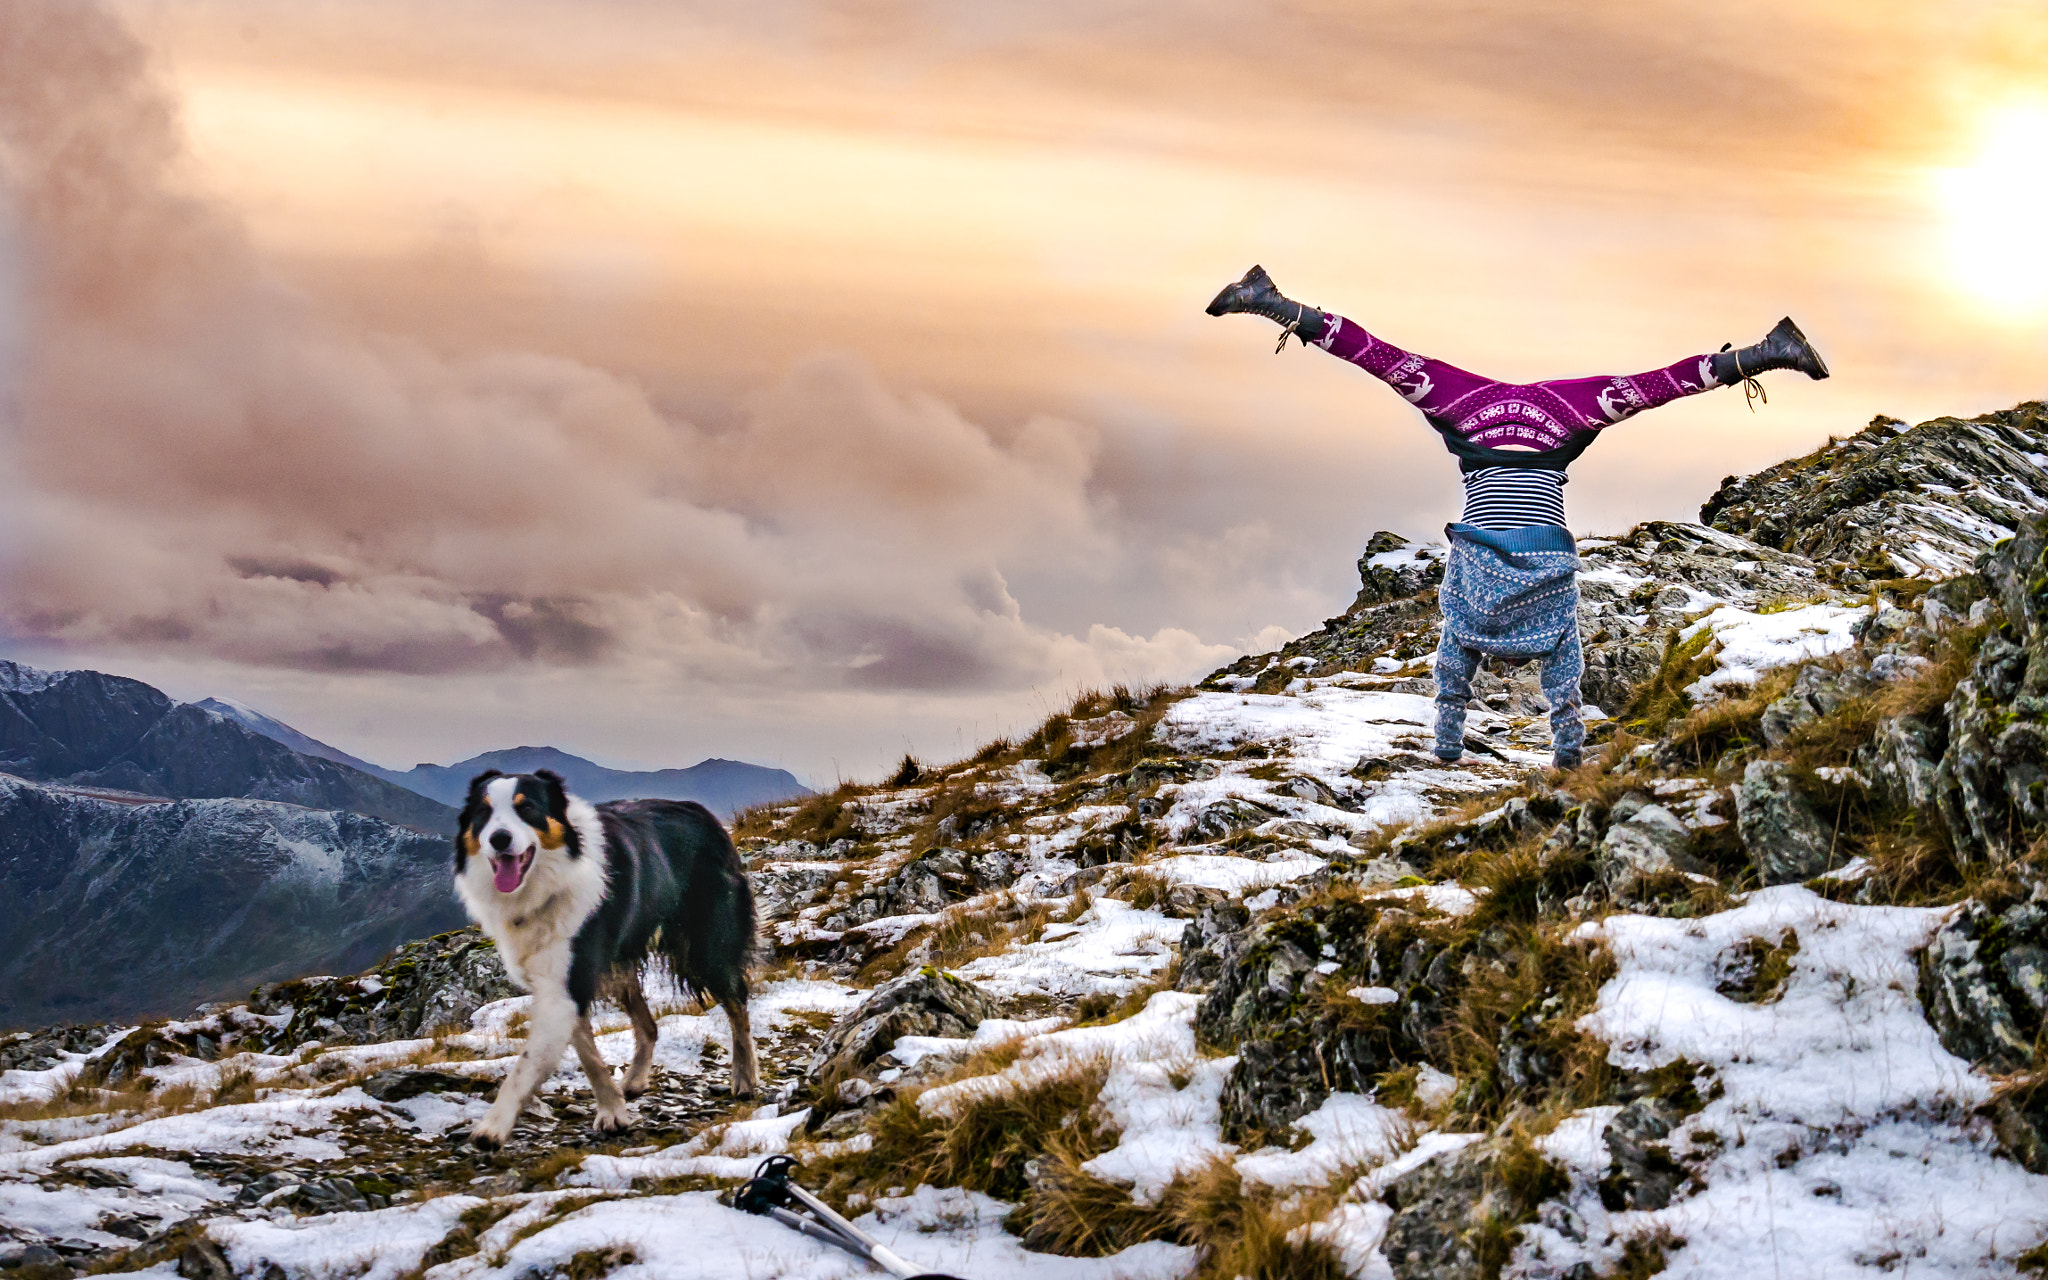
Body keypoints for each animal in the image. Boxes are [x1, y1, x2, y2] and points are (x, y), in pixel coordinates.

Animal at [456, 761, 761, 1146]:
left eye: (527, 808)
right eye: (483, 813)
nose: (499, 839)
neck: (547, 882)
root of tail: (705, 815)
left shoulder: (570, 979)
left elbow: (526, 1064)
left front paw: (493, 1126)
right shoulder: (564, 980)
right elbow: (587, 1053)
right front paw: (612, 1109)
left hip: (706, 947)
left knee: (738, 1004)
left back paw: (745, 1077)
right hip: (620, 967)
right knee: (649, 1025)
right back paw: (634, 1080)